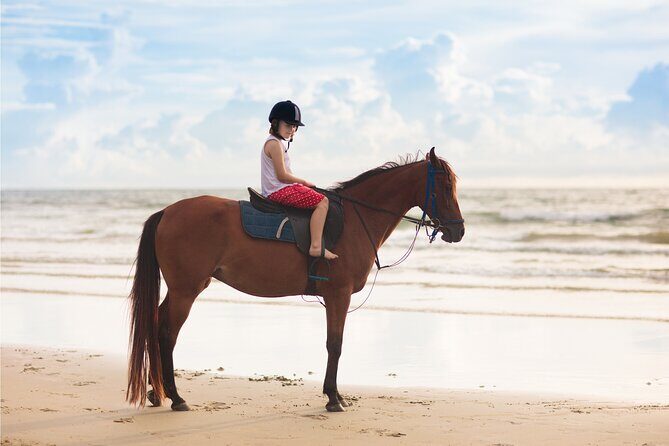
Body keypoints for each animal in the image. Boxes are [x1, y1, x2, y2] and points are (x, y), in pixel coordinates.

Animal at [126, 147, 465, 412]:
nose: (458, 231)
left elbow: (333, 344)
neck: (356, 220)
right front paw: (333, 398)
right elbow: (335, 344)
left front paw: (334, 395)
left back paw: (157, 392)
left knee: (156, 324)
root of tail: (167, 212)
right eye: (444, 186)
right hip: (186, 290)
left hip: (180, 289)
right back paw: (176, 397)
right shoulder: (338, 295)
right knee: (167, 334)